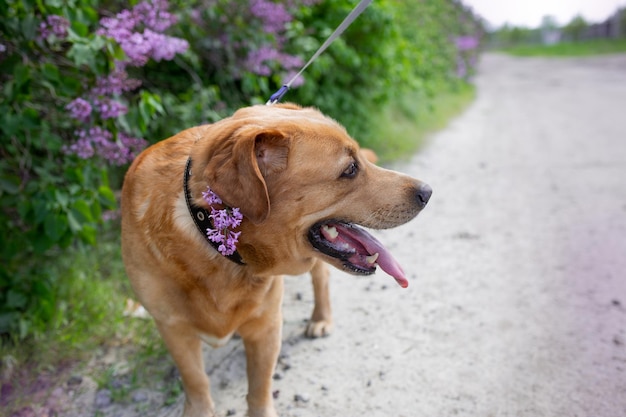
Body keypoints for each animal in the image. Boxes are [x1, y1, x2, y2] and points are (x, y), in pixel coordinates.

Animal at [122, 101, 432, 416]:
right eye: (350, 169)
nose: (427, 192)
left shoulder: (268, 325)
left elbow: (259, 389)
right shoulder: (173, 330)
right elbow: (196, 382)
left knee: (321, 279)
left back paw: (321, 318)